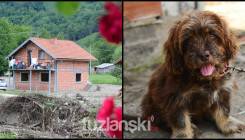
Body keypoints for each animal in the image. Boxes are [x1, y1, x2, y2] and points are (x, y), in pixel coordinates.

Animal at [141, 10, 245, 138]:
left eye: (212, 35)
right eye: (188, 39)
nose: (204, 55)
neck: (203, 79)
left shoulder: (222, 90)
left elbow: (223, 109)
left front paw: (228, 124)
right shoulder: (175, 98)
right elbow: (180, 120)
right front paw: (182, 135)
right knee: (161, 120)